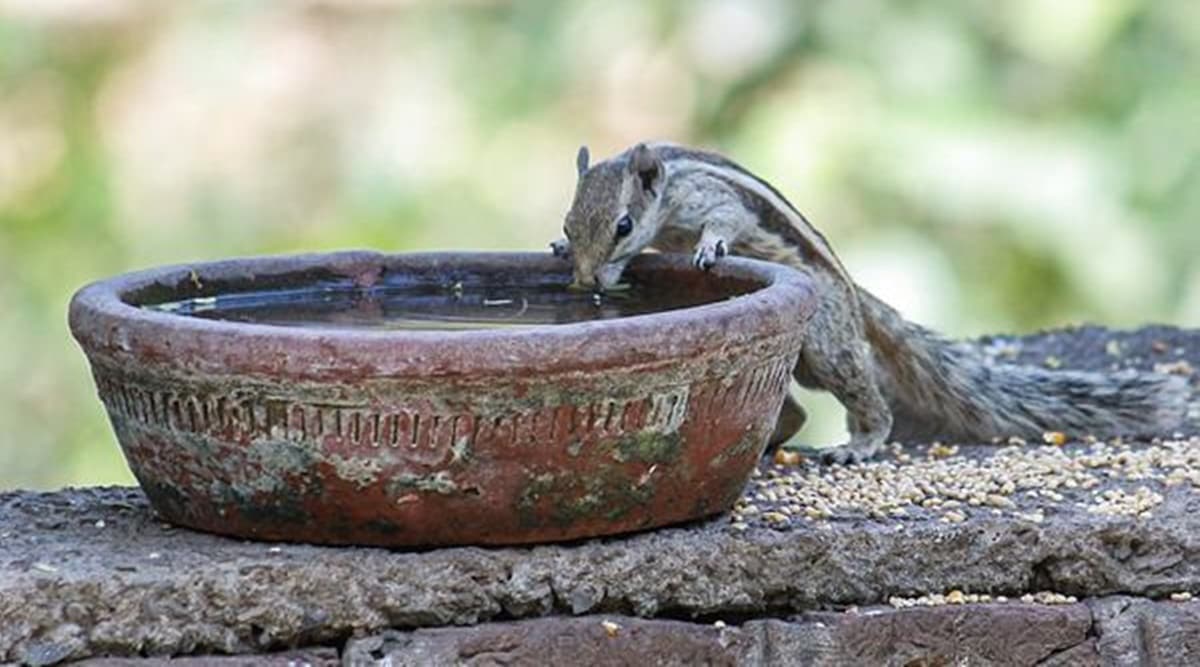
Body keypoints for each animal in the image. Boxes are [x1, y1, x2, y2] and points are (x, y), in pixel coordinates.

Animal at [550, 141, 1191, 463]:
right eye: (569, 221)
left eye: (623, 226)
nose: (586, 282)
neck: (665, 193)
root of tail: (857, 300)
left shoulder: (708, 196)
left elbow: (724, 220)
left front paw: (710, 247)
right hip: (805, 366)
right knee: (798, 410)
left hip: (827, 348)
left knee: (866, 398)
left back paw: (860, 444)